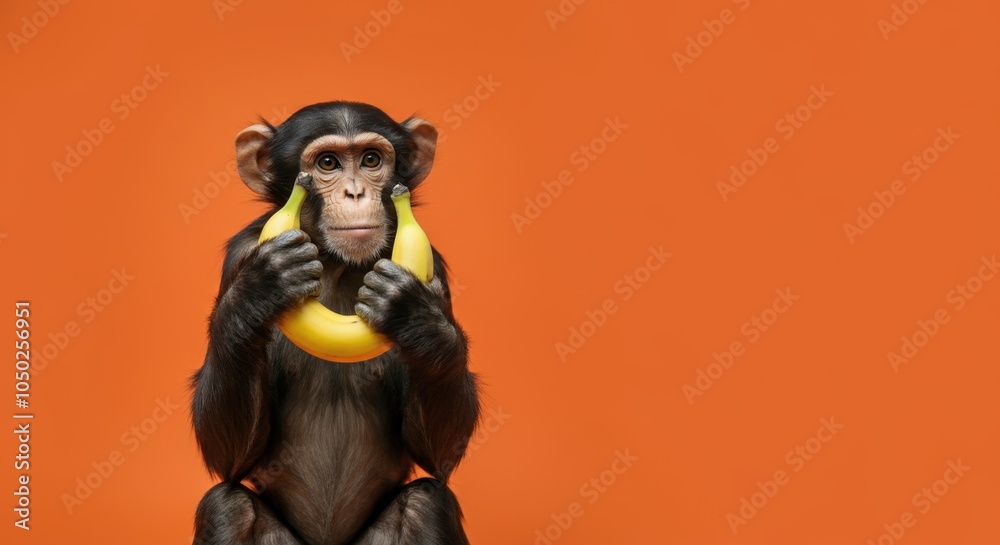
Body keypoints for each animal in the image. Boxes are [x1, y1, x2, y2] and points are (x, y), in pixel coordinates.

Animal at [189, 101, 479, 545]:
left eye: (371, 160)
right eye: (327, 163)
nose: (355, 192)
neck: (336, 264)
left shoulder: (436, 268)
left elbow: (438, 454)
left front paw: (417, 316)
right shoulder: (240, 254)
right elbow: (231, 456)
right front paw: (261, 287)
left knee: (427, 502)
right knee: (228, 505)